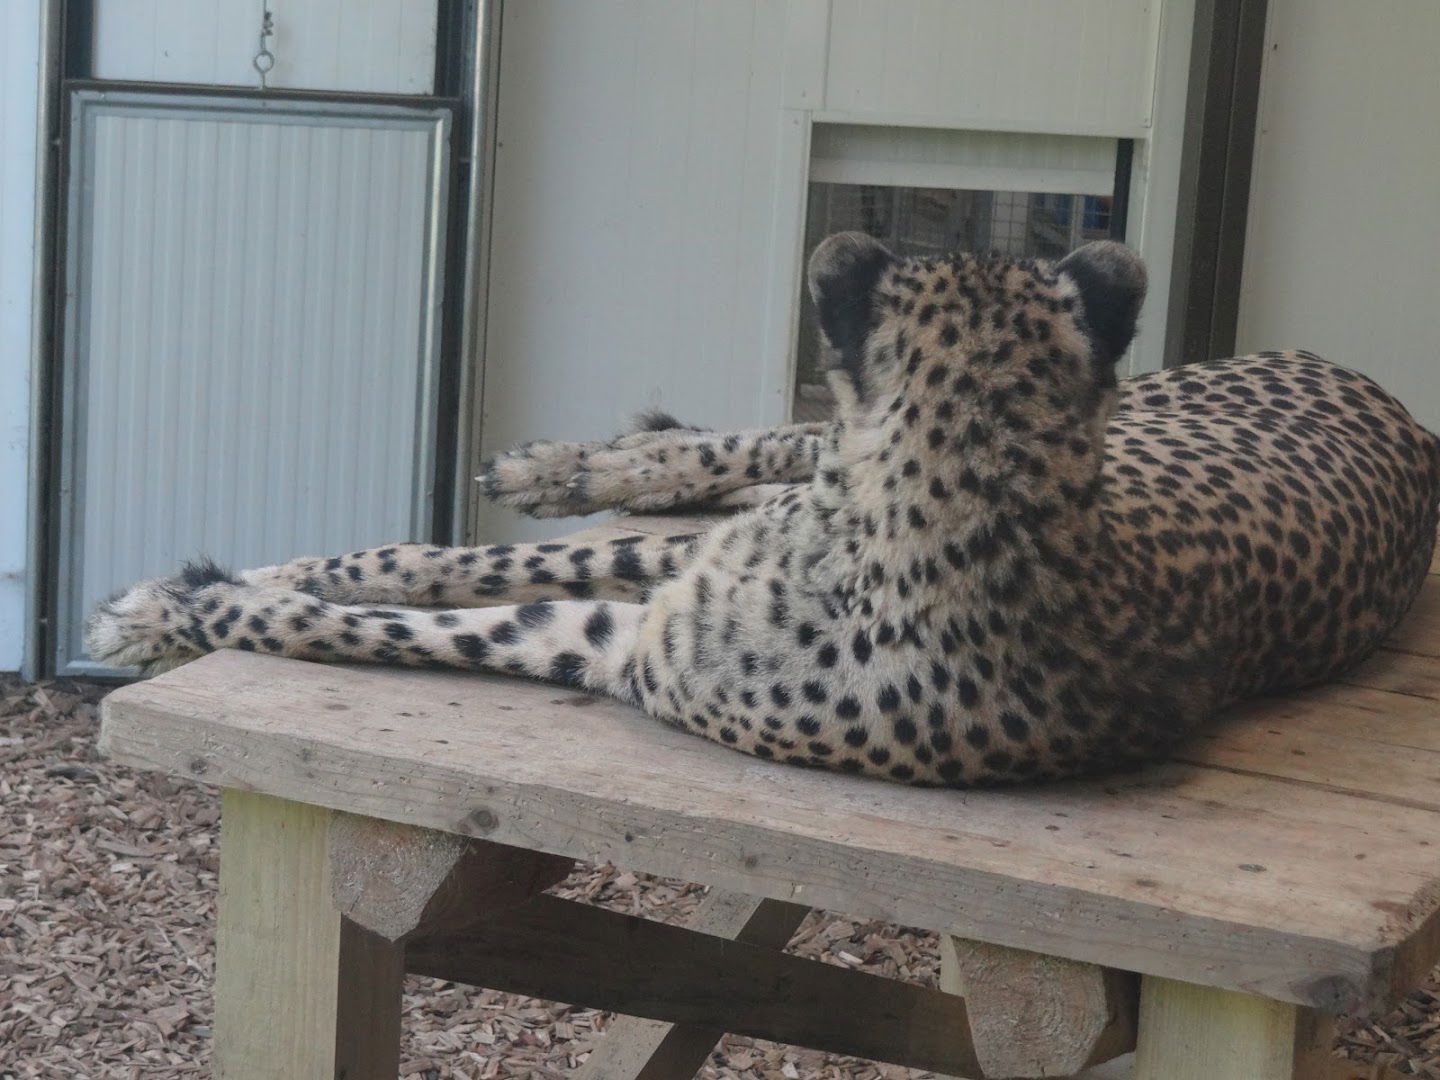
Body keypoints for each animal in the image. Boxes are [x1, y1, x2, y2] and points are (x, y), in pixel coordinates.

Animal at [90, 234, 1440, 789]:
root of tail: (1406, 415)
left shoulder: (604, 644)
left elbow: (377, 614)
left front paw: (186, 603)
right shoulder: (648, 605)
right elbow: (423, 560)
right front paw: (215, 586)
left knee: (751, 461)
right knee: (757, 441)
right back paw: (561, 465)